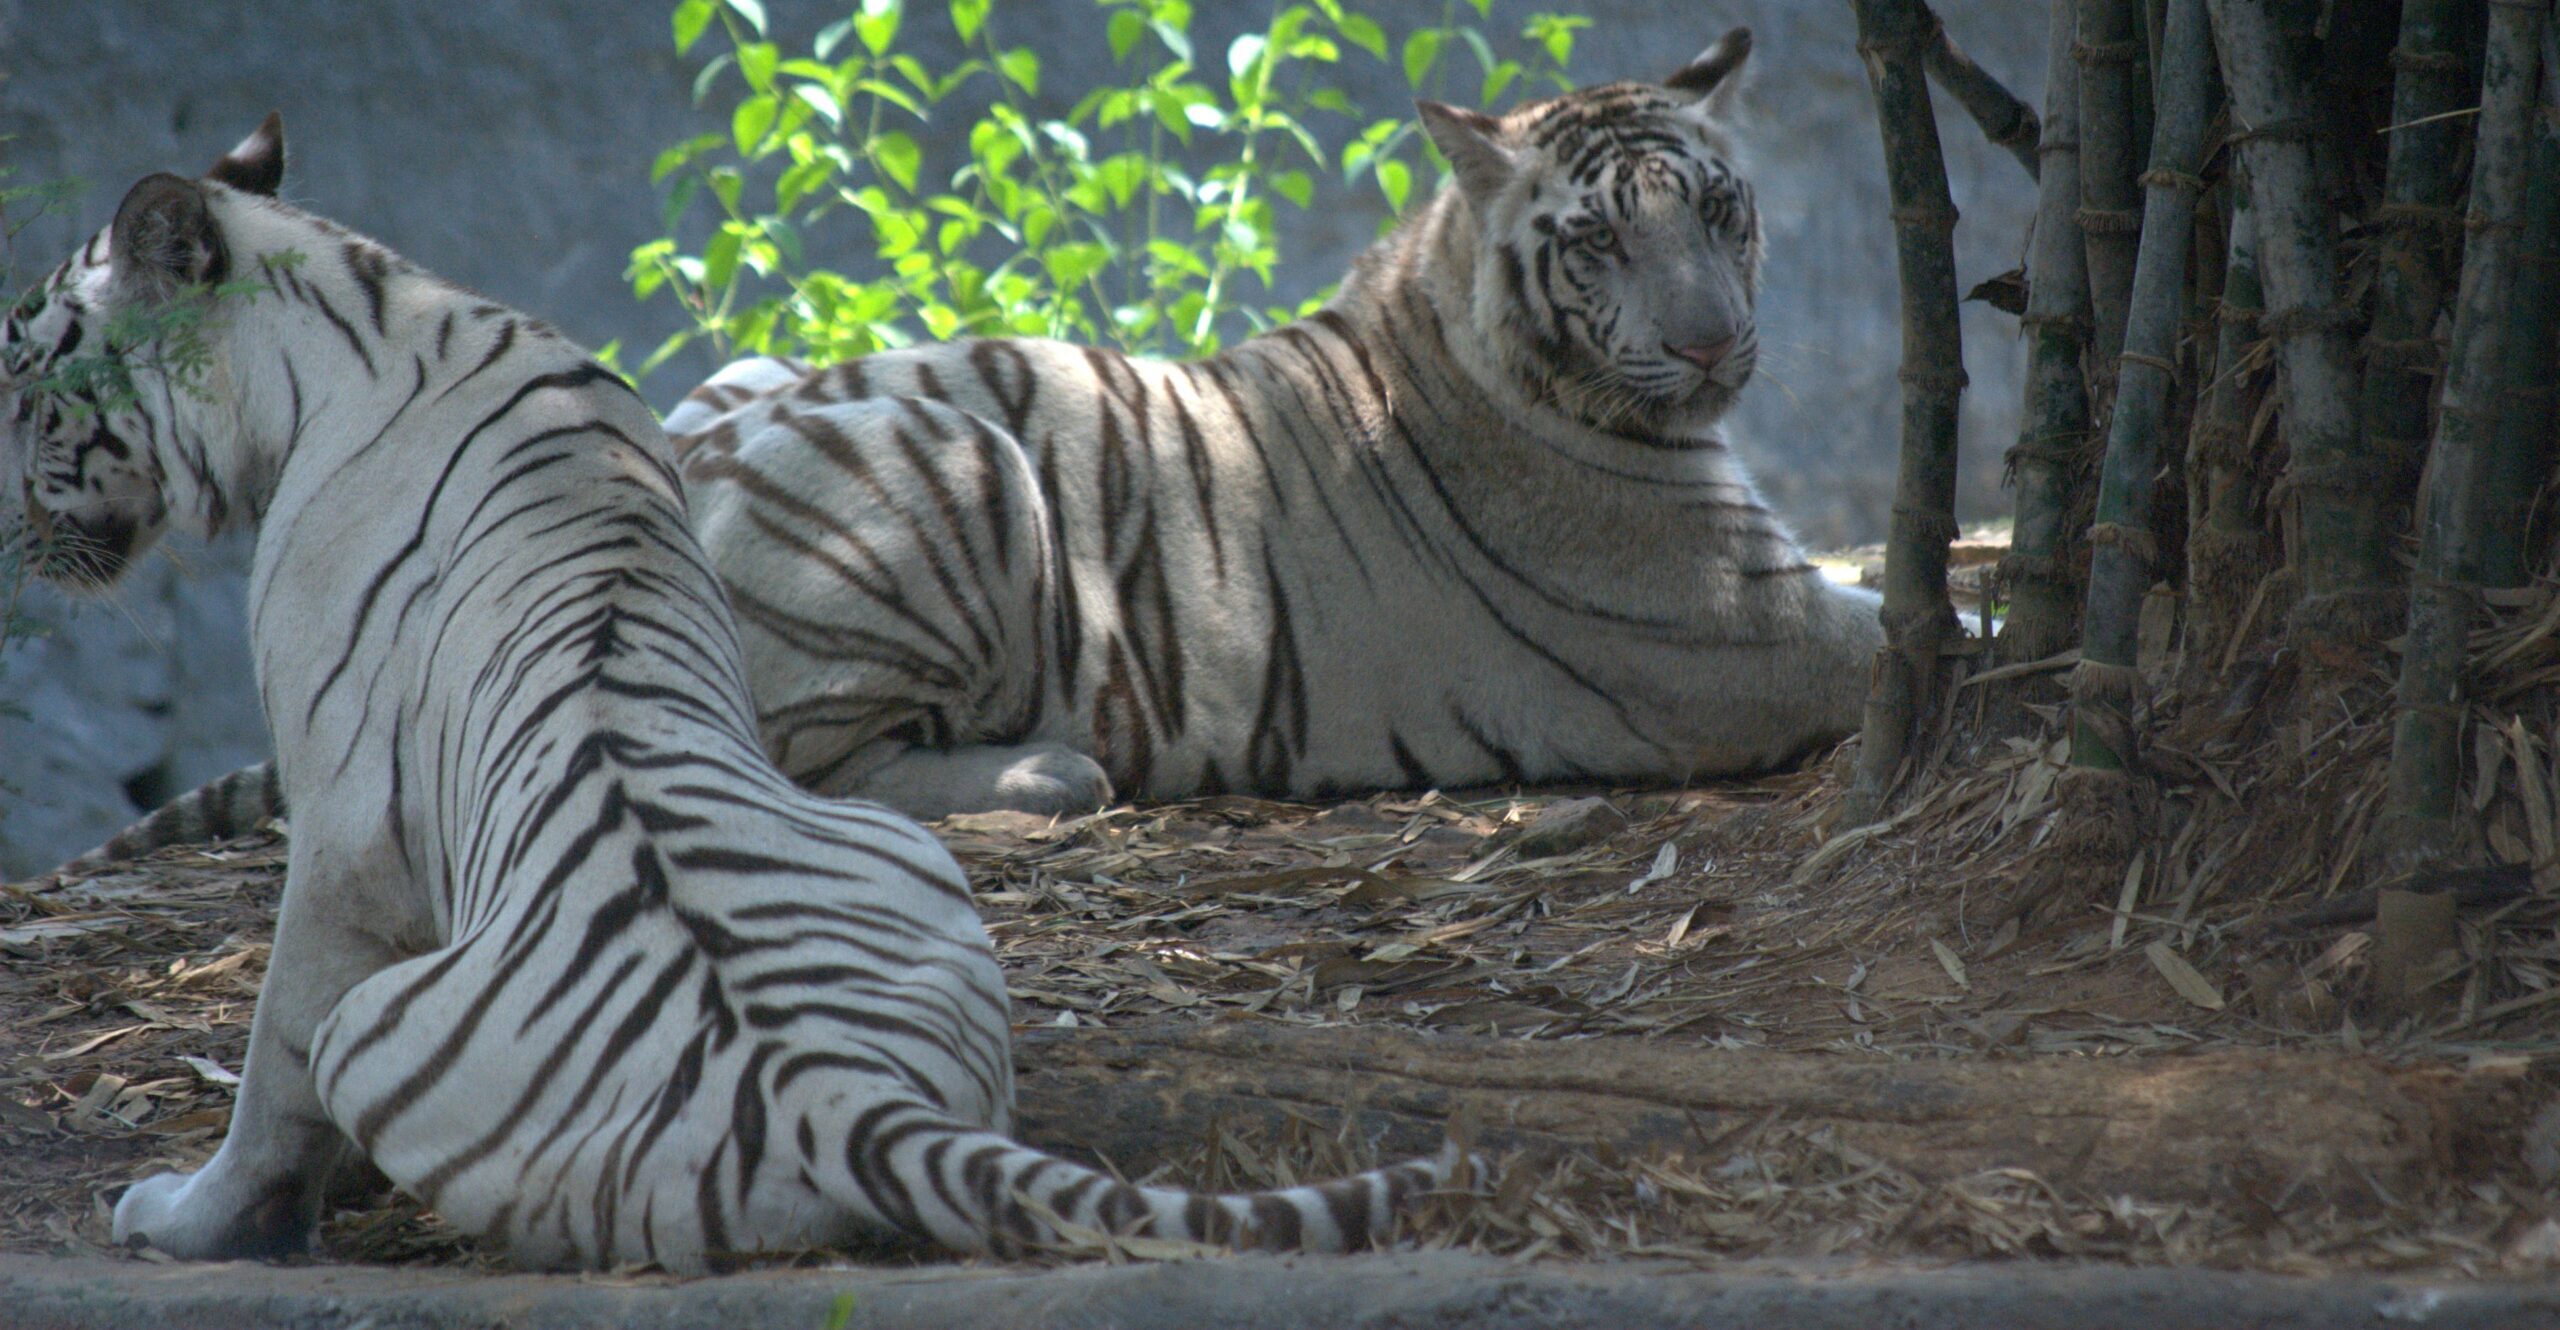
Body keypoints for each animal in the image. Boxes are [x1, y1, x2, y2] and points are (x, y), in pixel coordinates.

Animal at [1, 115, 1451, 1272]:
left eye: (21, 373)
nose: (10, 525)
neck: (350, 316)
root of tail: (832, 1091)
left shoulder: (344, 822)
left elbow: (272, 1061)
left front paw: (192, 1216)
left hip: (393, 1027)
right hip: (920, 869)